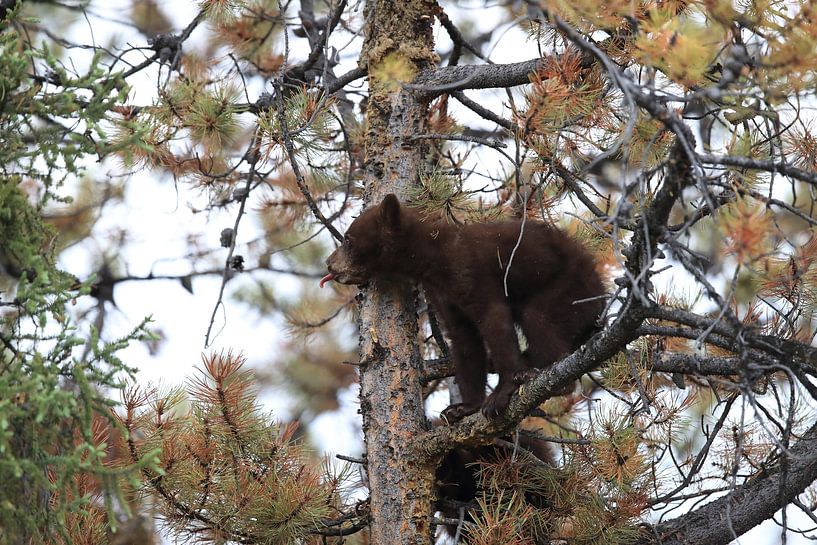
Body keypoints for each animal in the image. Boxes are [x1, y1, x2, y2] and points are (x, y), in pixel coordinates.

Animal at [321, 193, 605, 419]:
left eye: (348, 239)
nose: (329, 263)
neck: (432, 257)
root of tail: (601, 297)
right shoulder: (442, 294)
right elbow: (465, 341)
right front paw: (463, 407)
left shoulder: (471, 273)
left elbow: (494, 322)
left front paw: (500, 394)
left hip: (566, 288)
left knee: (539, 319)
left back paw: (546, 375)